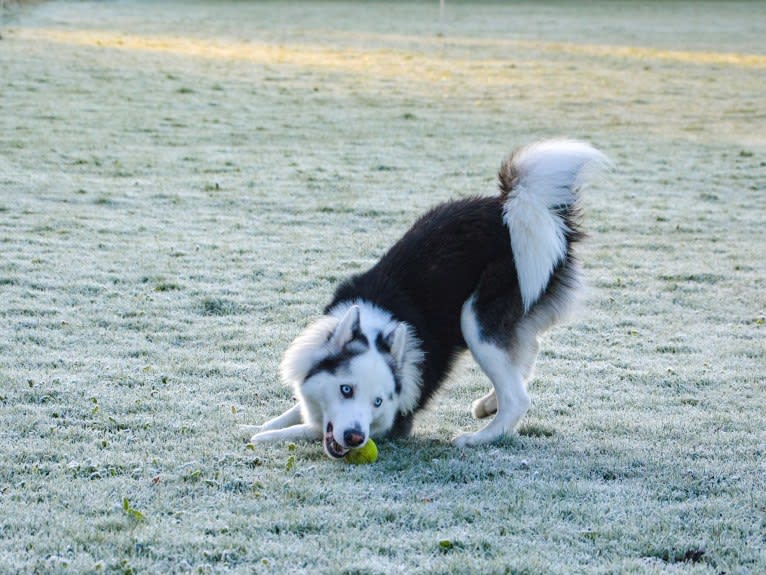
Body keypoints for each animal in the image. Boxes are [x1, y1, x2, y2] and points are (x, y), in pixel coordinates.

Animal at [246, 141, 608, 460]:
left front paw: (263, 435)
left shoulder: (394, 421)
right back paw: (488, 404)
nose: (355, 438)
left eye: (378, 402)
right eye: (346, 389)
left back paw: (479, 437)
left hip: (476, 317)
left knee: (518, 397)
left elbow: (308, 427)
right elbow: (300, 408)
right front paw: (264, 423)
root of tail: (519, 204)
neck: (377, 328)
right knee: (527, 349)